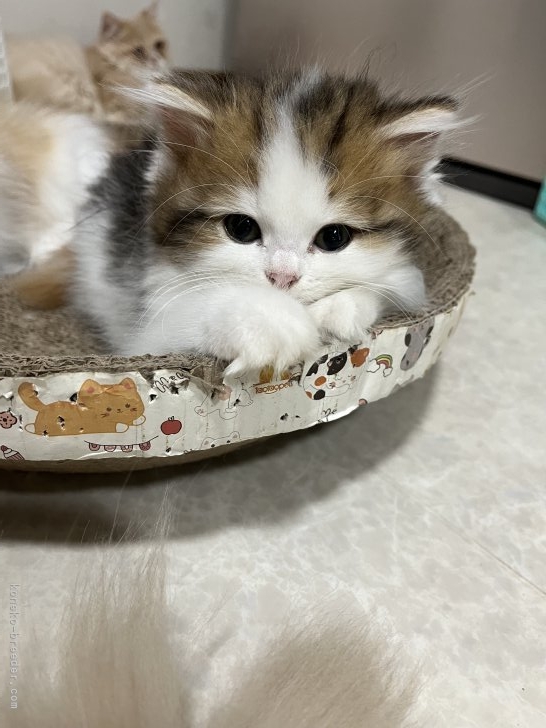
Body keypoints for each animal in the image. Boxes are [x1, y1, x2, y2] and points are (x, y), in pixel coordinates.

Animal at [72, 68, 458, 376]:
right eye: (241, 229)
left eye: (334, 237)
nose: (282, 278)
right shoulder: (152, 326)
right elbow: (189, 312)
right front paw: (268, 323)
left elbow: (390, 285)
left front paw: (340, 309)